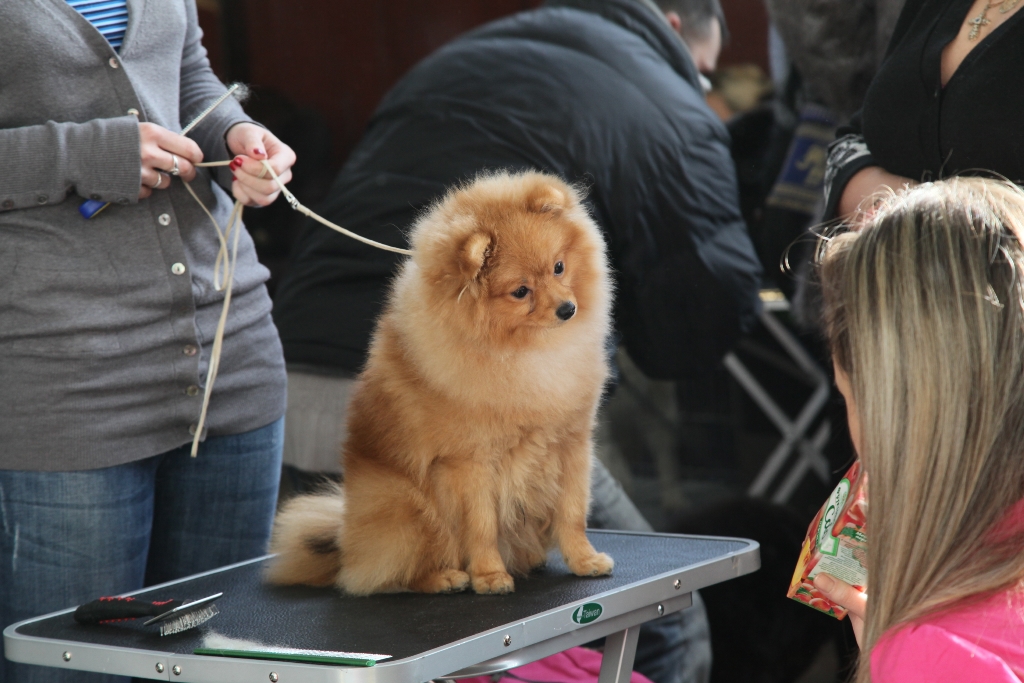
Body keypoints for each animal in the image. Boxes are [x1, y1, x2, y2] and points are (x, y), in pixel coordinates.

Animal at [268, 172, 610, 598]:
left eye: (559, 267)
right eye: (520, 291)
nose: (567, 309)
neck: (527, 352)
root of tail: (346, 542)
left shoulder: (571, 442)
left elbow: (572, 512)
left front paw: (584, 560)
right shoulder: (472, 461)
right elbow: (482, 525)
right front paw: (490, 575)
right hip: (407, 506)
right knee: (391, 573)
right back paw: (445, 577)